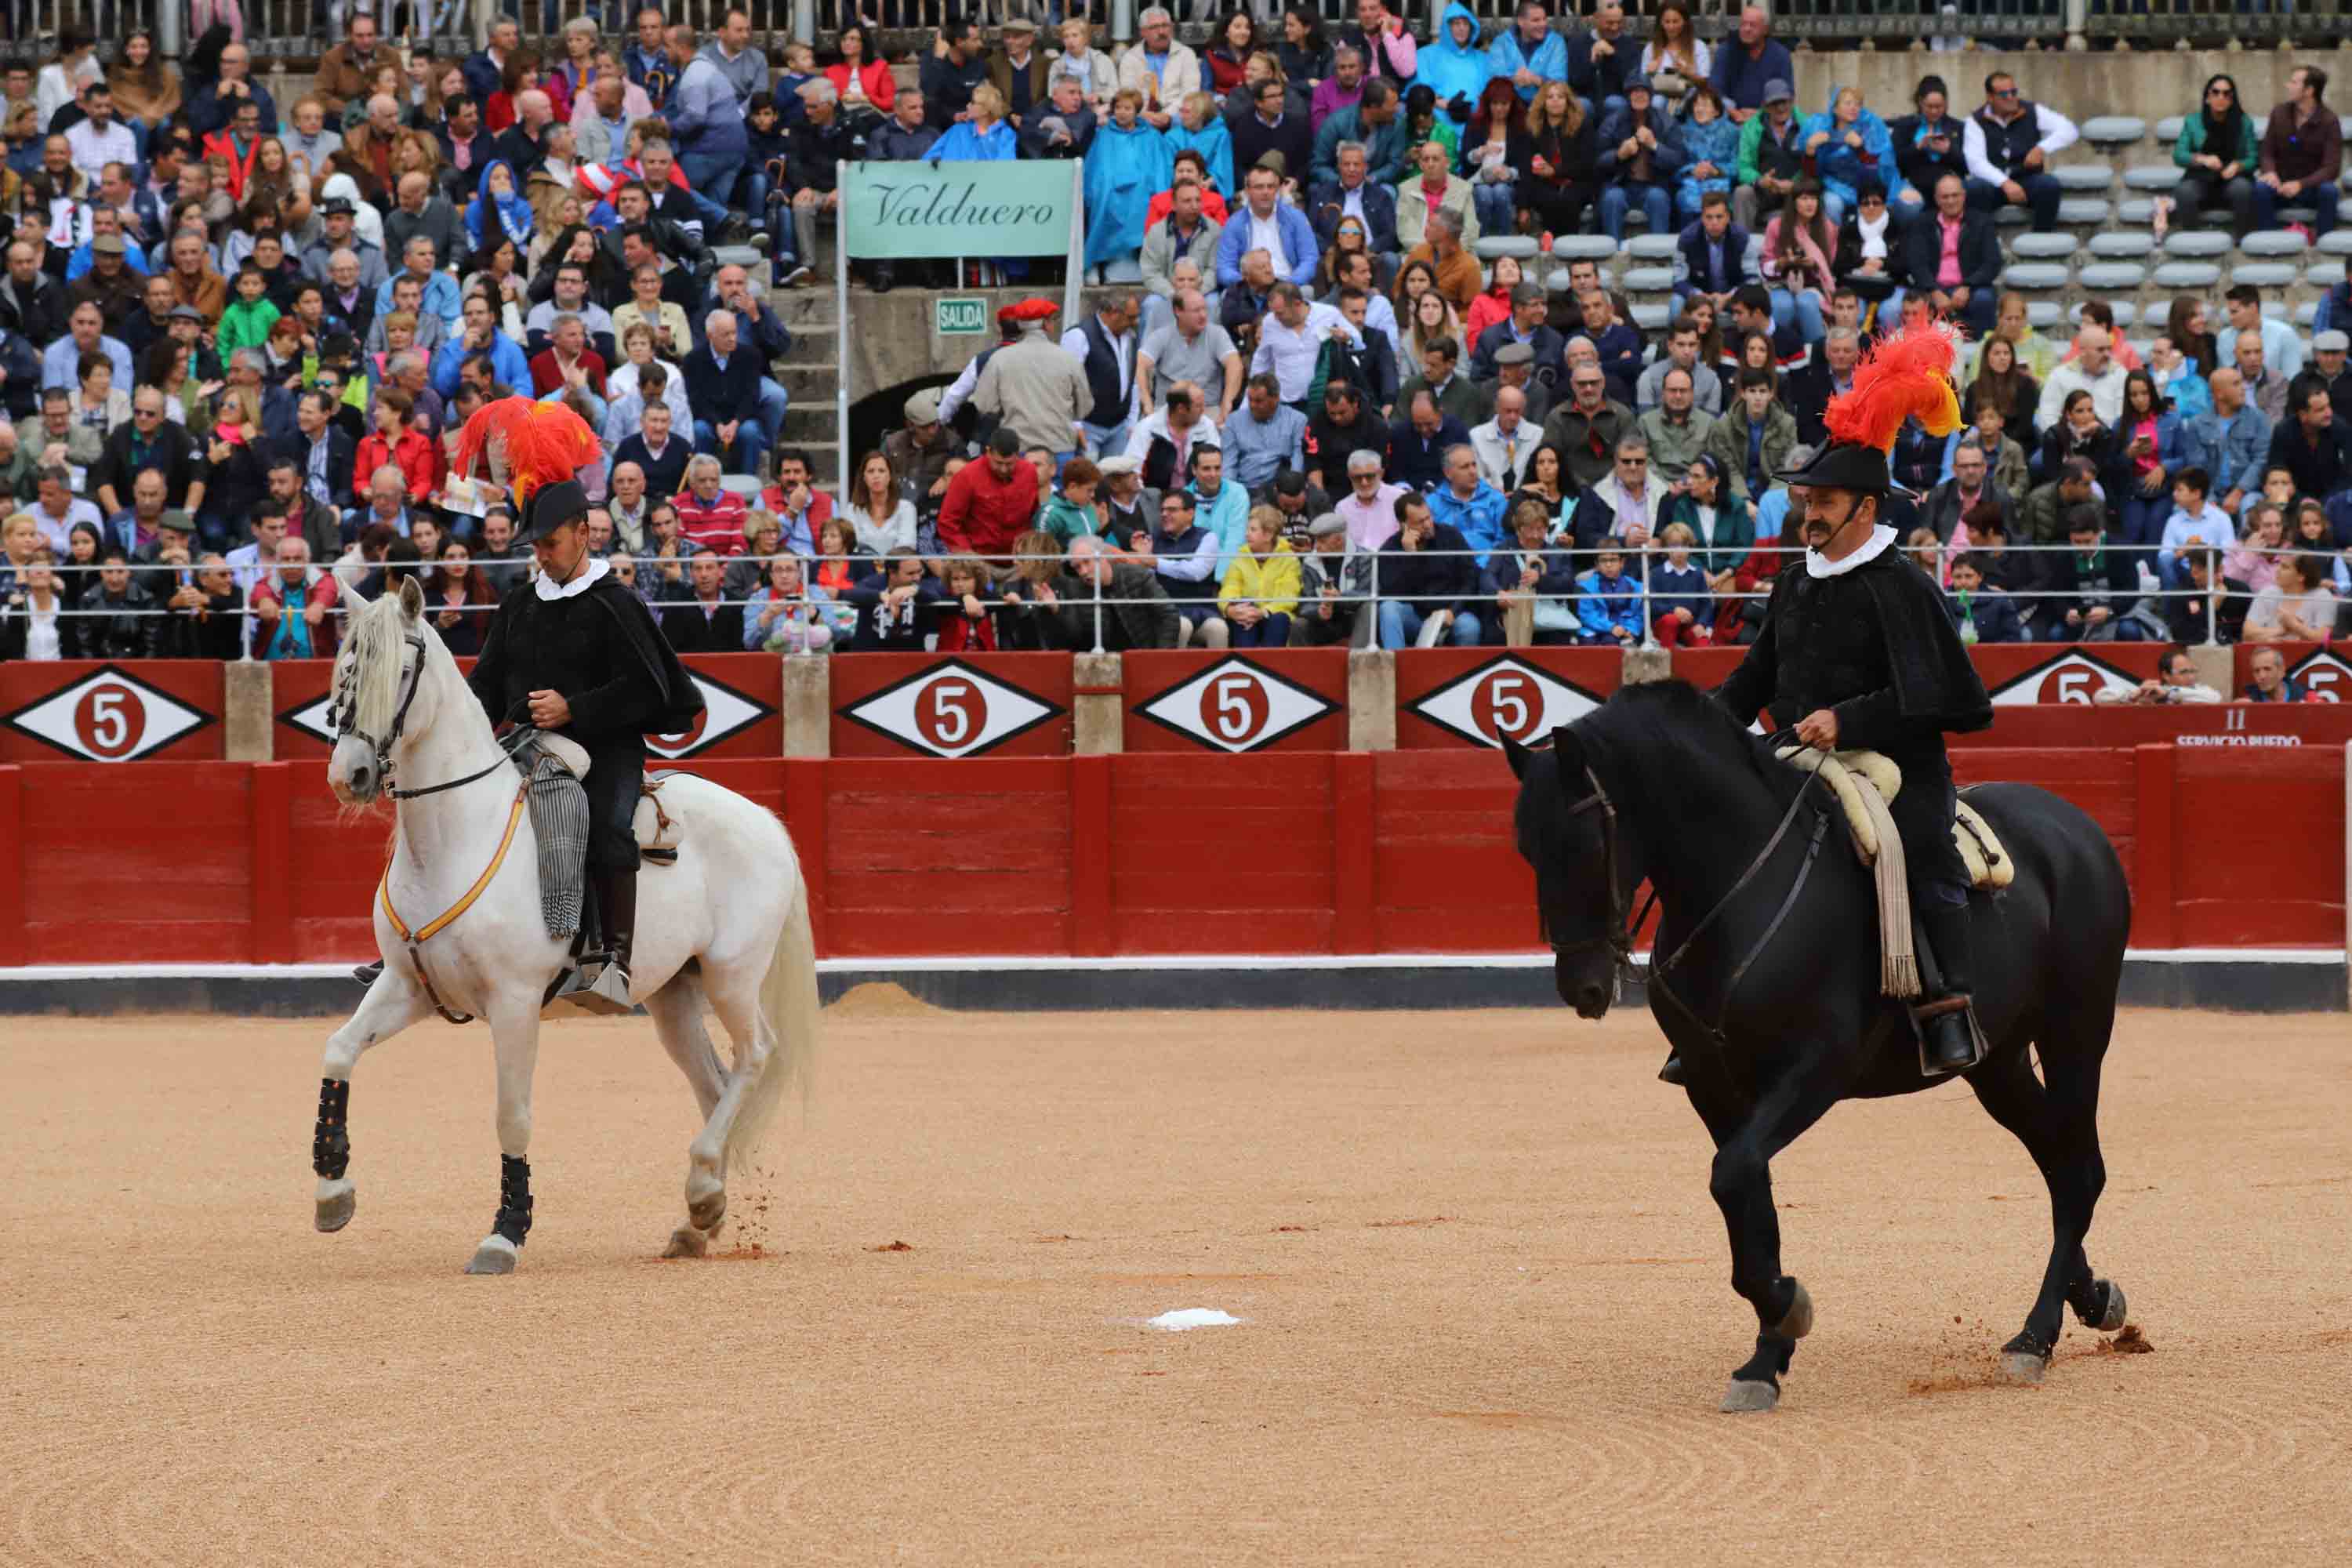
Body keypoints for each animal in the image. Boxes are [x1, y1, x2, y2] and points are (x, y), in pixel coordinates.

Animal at [318, 575, 818, 1279]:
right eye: (344, 672)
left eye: (404, 672)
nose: (351, 776)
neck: (454, 834)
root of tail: (766, 820)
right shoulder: (407, 984)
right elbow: (339, 1050)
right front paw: (333, 1191)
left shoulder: (515, 1001)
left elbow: (512, 1114)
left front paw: (504, 1235)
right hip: (674, 995)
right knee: (714, 1079)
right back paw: (701, 1215)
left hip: (734, 975)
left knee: (755, 1054)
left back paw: (702, 1190)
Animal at [1515, 681, 2145, 1420]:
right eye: (1526, 849)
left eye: (1585, 843)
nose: (1583, 987)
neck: (1738, 887)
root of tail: (2077, 827)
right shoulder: (1710, 1083)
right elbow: (1747, 1199)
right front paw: (1767, 1356)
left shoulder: (1815, 1070)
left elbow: (1733, 1177)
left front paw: (1786, 1313)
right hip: (1999, 1062)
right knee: (2060, 1161)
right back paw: (2092, 1300)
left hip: (2078, 1029)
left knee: (2080, 1166)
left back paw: (2034, 1338)